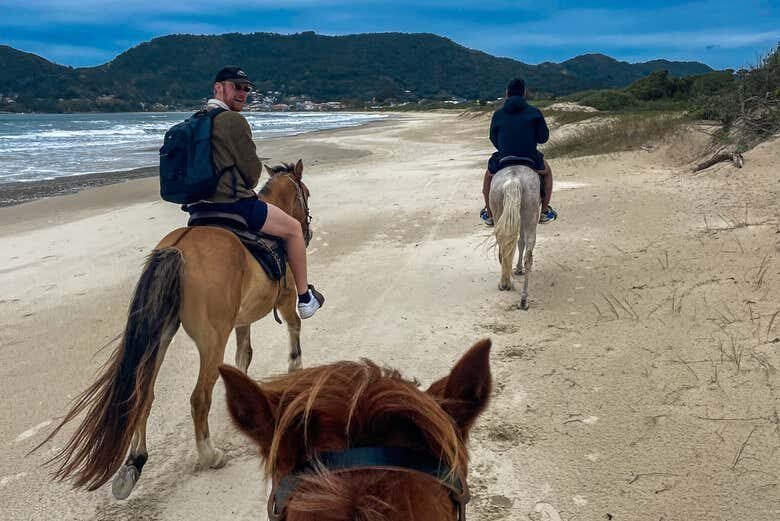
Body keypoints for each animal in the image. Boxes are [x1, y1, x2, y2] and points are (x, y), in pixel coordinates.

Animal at [36, 159, 313, 500]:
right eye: (306, 194)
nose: (307, 231)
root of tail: (178, 249)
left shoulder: (242, 319)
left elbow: (244, 355)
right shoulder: (284, 300)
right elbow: (292, 329)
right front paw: (294, 369)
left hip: (160, 338)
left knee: (143, 395)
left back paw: (135, 461)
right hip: (212, 340)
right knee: (199, 398)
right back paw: (210, 455)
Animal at [489, 165, 541, 310]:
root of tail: (513, 179)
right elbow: (520, 242)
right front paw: (518, 269)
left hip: (501, 214)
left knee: (506, 248)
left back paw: (511, 289)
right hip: (529, 216)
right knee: (524, 253)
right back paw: (520, 297)